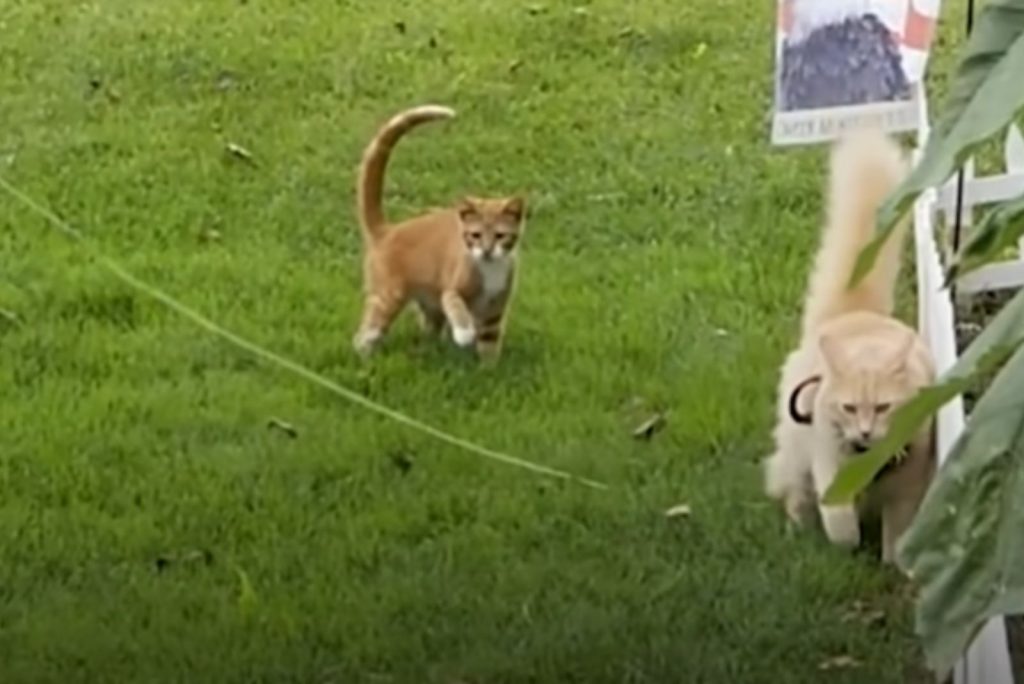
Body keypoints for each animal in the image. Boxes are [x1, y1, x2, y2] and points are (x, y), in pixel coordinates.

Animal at [352, 103, 528, 360]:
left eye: (500, 236)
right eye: (475, 235)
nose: (486, 251)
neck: (490, 270)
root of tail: (387, 230)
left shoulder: (495, 311)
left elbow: (489, 344)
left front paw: (488, 367)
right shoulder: (451, 289)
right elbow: (456, 304)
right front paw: (464, 334)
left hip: (429, 304)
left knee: (429, 327)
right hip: (389, 296)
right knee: (366, 331)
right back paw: (364, 356)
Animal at [761, 127, 937, 561]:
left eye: (885, 407)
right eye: (849, 407)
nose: (865, 432)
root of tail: (854, 313)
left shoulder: (908, 485)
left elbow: (897, 532)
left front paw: (893, 562)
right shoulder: (829, 462)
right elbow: (840, 519)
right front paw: (847, 544)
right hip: (797, 450)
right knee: (791, 486)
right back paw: (797, 525)